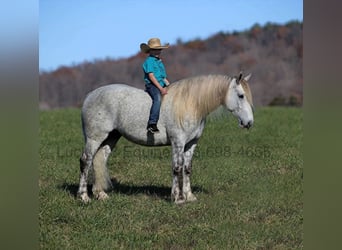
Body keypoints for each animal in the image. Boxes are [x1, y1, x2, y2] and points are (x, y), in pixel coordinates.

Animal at [78, 72, 254, 203]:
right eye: (241, 95)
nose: (249, 123)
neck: (191, 104)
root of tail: (90, 95)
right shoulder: (178, 142)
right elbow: (176, 168)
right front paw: (177, 198)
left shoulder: (191, 144)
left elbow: (187, 168)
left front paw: (189, 196)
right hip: (94, 138)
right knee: (86, 161)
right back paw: (84, 196)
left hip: (111, 138)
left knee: (99, 159)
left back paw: (100, 194)